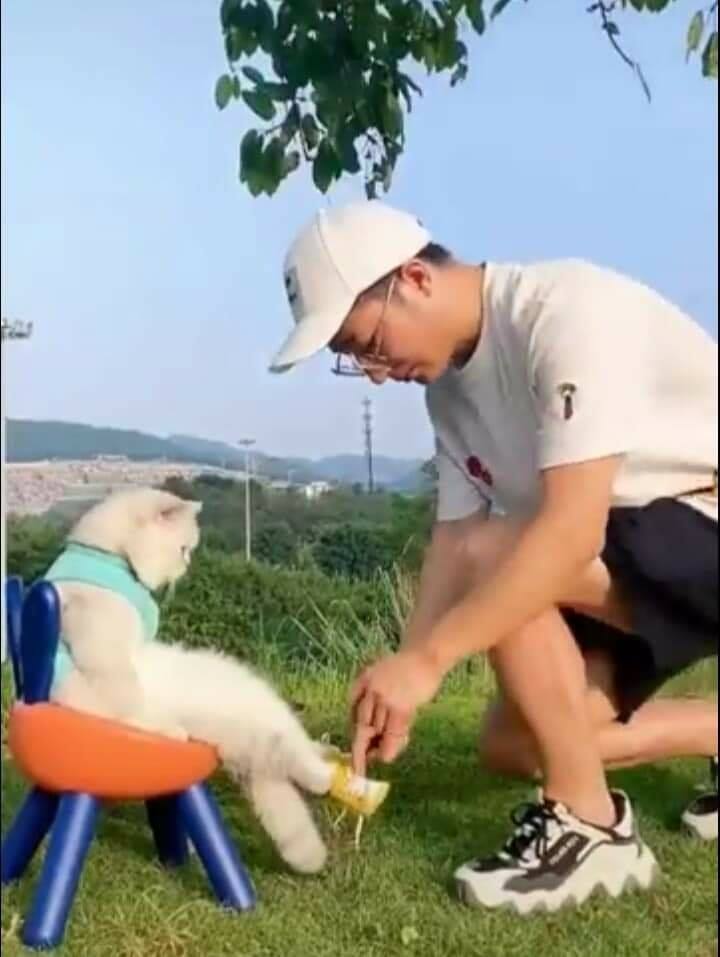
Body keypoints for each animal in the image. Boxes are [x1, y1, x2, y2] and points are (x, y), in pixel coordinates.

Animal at [45, 487, 386, 875]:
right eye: (182, 548)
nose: (186, 565)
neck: (104, 558)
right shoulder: (106, 661)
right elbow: (130, 702)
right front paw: (160, 727)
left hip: (262, 719)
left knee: (299, 745)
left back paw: (335, 762)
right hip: (249, 736)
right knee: (290, 758)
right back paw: (331, 780)